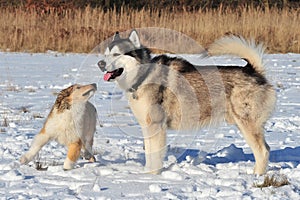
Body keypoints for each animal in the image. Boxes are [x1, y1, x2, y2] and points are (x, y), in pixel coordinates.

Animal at [98, 30, 276, 175]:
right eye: (106, 54)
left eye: (116, 54)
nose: (100, 63)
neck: (144, 75)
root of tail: (253, 71)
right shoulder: (147, 127)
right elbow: (149, 154)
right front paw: (146, 173)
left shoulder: (156, 126)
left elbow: (155, 155)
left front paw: (151, 176)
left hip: (247, 124)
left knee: (263, 151)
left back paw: (256, 176)